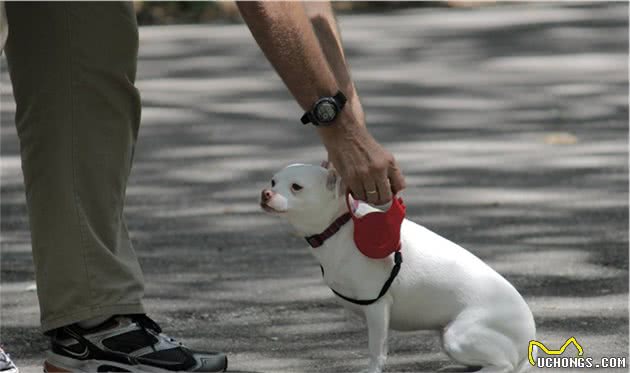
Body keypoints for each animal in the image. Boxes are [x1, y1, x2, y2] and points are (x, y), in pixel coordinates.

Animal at [262, 163, 540, 372]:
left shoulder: (376, 307)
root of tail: (529, 337)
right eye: (273, 182)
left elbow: (376, 350)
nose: (265, 193)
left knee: (503, 366)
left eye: (296, 187)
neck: (339, 225)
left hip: (457, 336)